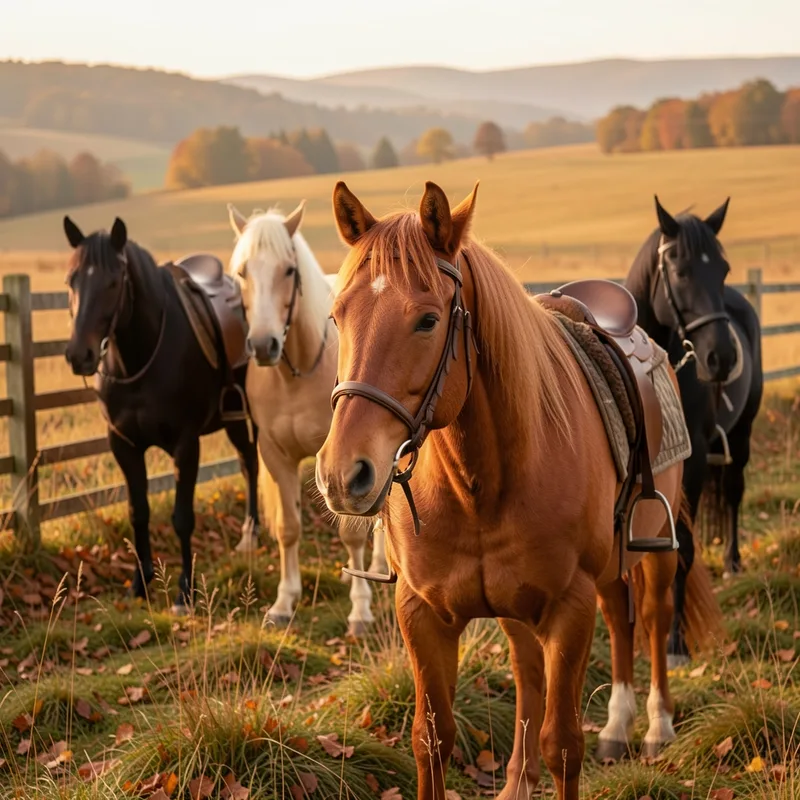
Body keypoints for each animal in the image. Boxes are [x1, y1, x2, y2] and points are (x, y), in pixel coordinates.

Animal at [62, 216, 260, 612]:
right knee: (248, 461)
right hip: (232, 417)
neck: (140, 357)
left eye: (113, 282)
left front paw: (185, 592)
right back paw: (249, 535)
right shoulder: (122, 444)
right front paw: (139, 584)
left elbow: (182, 518)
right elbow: (138, 513)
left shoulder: (186, 444)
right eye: (71, 280)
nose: (80, 355)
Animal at [225, 201, 387, 635]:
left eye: (288, 270)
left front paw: (360, 610)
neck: (296, 374)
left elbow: (351, 532)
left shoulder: (347, 462)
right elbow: (288, 529)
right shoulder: (275, 455)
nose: (264, 345)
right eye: (241, 272)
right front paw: (284, 603)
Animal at [315, 181, 717, 800]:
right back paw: (573, 749)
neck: (479, 485)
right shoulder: (421, 614)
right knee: (565, 645)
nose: (342, 473)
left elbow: (564, 744)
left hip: (653, 550)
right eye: (337, 317)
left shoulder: (569, 606)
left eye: (427, 320)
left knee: (650, 617)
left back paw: (653, 725)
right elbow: (431, 740)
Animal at [626, 196, 762, 666]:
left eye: (723, 268)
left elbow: (681, 548)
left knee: (735, 492)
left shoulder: (697, 459)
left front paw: (675, 644)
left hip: (740, 437)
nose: (721, 357)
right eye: (681, 272)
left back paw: (734, 561)